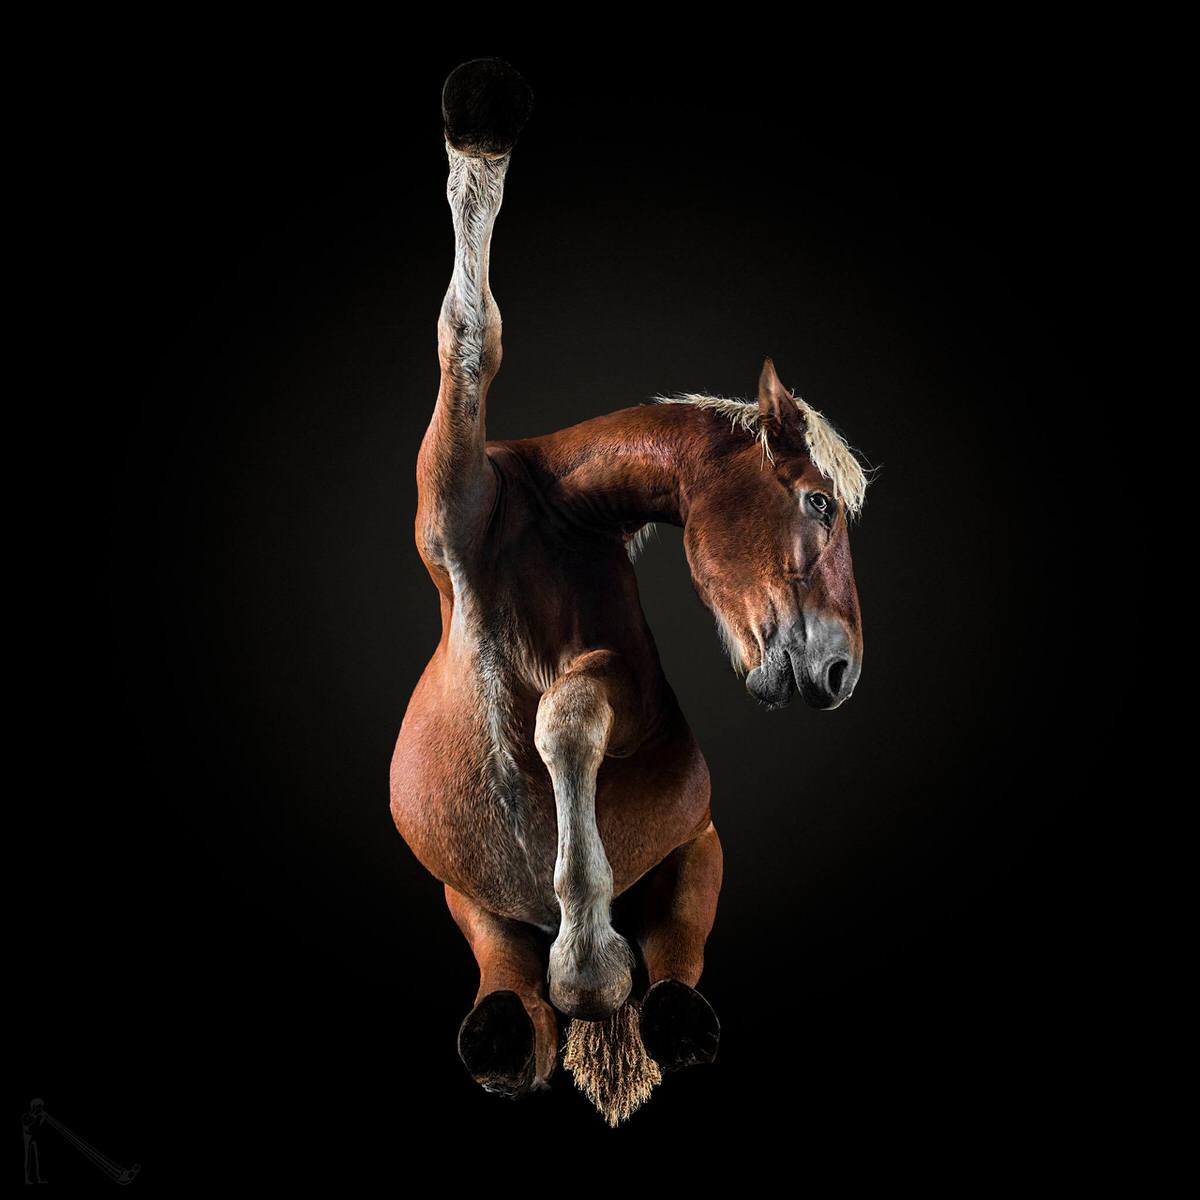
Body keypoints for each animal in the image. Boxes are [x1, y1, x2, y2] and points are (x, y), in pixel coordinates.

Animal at [389, 58, 870, 1126]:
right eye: (817, 501)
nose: (841, 673)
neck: (549, 515)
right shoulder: (448, 506)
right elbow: (467, 332)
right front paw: (480, 121)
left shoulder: (635, 699)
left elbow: (568, 712)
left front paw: (593, 964)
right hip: (466, 902)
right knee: (503, 992)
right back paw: (520, 1024)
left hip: (700, 853)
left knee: (679, 965)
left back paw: (657, 1010)